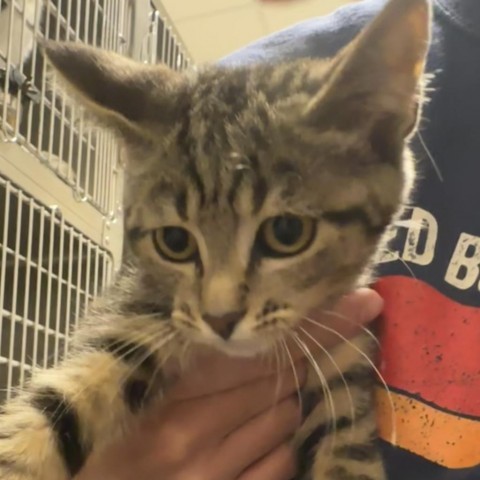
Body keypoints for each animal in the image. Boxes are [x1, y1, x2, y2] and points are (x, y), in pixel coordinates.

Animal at [0, 0, 432, 480]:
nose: (220, 319)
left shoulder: (344, 364)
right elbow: (54, 404)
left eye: (286, 233)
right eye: (174, 241)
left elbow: (345, 455)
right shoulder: (138, 316)